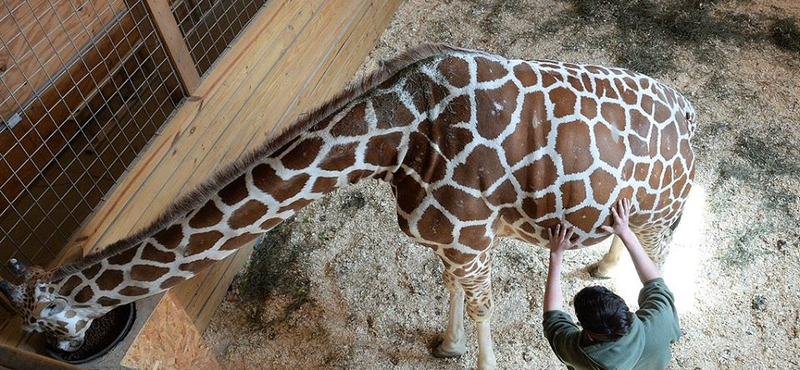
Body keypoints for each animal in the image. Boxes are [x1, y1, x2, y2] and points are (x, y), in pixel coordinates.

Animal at [1, 44, 692, 368]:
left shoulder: (471, 233)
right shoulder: (446, 235)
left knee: (660, 247)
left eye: (39, 325)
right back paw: (602, 269)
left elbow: (481, 304)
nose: (62, 354)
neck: (399, 137)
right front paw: (445, 346)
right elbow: (451, 291)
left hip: (664, 207)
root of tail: (687, 110)